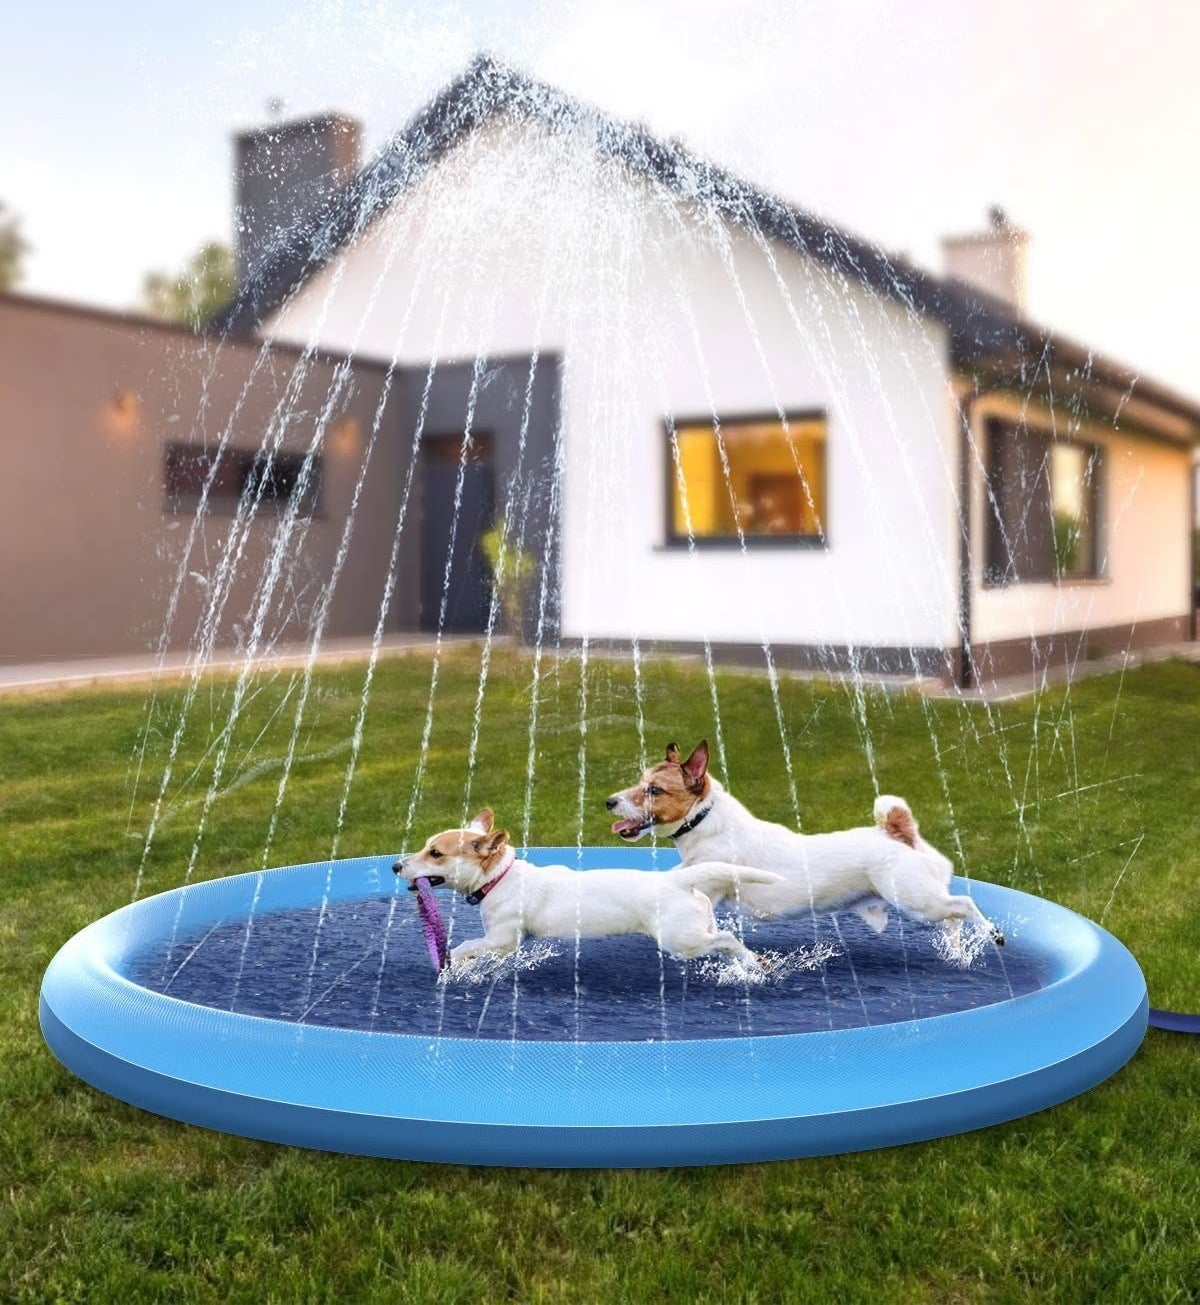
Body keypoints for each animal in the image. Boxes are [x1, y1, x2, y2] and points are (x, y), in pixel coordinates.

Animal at [396, 803, 787, 970]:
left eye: (435, 853)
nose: (395, 865)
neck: (500, 877)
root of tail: (675, 880)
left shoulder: (501, 939)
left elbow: (466, 946)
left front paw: (451, 962)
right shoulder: (503, 943)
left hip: (680, 940)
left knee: (726, 939)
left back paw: (753, 963)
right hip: (691, 935)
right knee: (724, 942)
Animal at [605, 746, 1006, 950]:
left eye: (654, 790)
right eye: (640, 782)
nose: (609, 802)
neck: (704, 820)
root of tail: (898, 832)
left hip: (914, 897)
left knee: (963, 905)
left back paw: (993, 935)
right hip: (923, 902)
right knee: (952, 919)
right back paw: (956, 954)